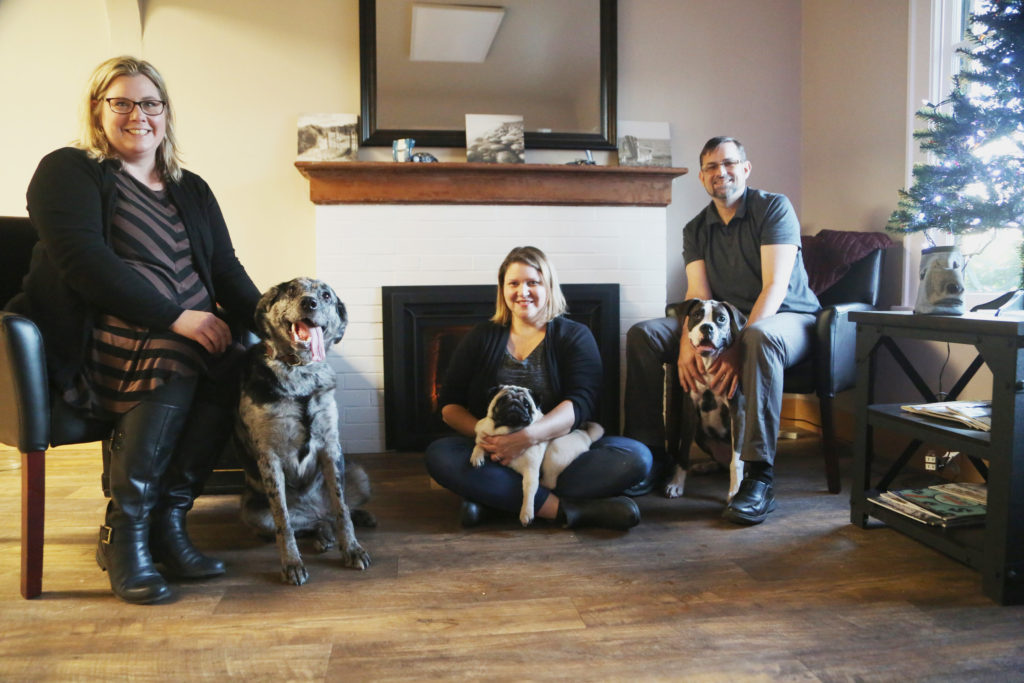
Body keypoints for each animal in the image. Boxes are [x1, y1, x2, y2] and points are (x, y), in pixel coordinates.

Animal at [234, 274, 374, 585]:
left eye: (326, 296)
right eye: (290, 290)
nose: (309, 303)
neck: (300, 373)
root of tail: (313, 510)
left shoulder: (331, 447)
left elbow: (342, 509)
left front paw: (353, 549)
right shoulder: (269, 457)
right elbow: (283, 521)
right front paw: (292, 563)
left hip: (359, 474)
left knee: (334, 513)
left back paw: (349, 524)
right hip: (251, 512)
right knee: (305, 525)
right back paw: (321, 536)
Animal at [468, 387, 602, 528]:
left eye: (526, 404)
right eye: (503, 400)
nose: (514, 403)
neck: (508, 431)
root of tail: (586, 436)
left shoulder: (530, 470)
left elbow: (529, 491)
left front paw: (526, 513)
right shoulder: (487, 440)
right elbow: (479, 444)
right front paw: (477, 456)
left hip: (554, 452)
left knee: (550, 483)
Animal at [663, 299, 745, 501]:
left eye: (721, 318)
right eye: (697, 315)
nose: (707, 327)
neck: (708, 365)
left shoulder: (737, 413)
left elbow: (737, 460)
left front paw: (735, 491)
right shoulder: (690, 411)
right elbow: (683, 451)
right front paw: (676, 484)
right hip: (700, 433)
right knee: (721, 463)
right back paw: (705, 466)